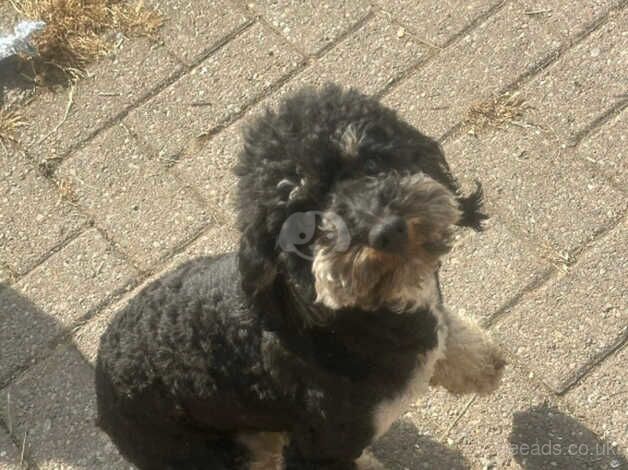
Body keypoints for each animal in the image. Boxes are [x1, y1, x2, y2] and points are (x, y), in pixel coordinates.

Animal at [94, 85, 506, 470]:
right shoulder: (320, 447)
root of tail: (101, 387)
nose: (386, 230)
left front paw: (478, 362)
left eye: (371, 161)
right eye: (304, 223)